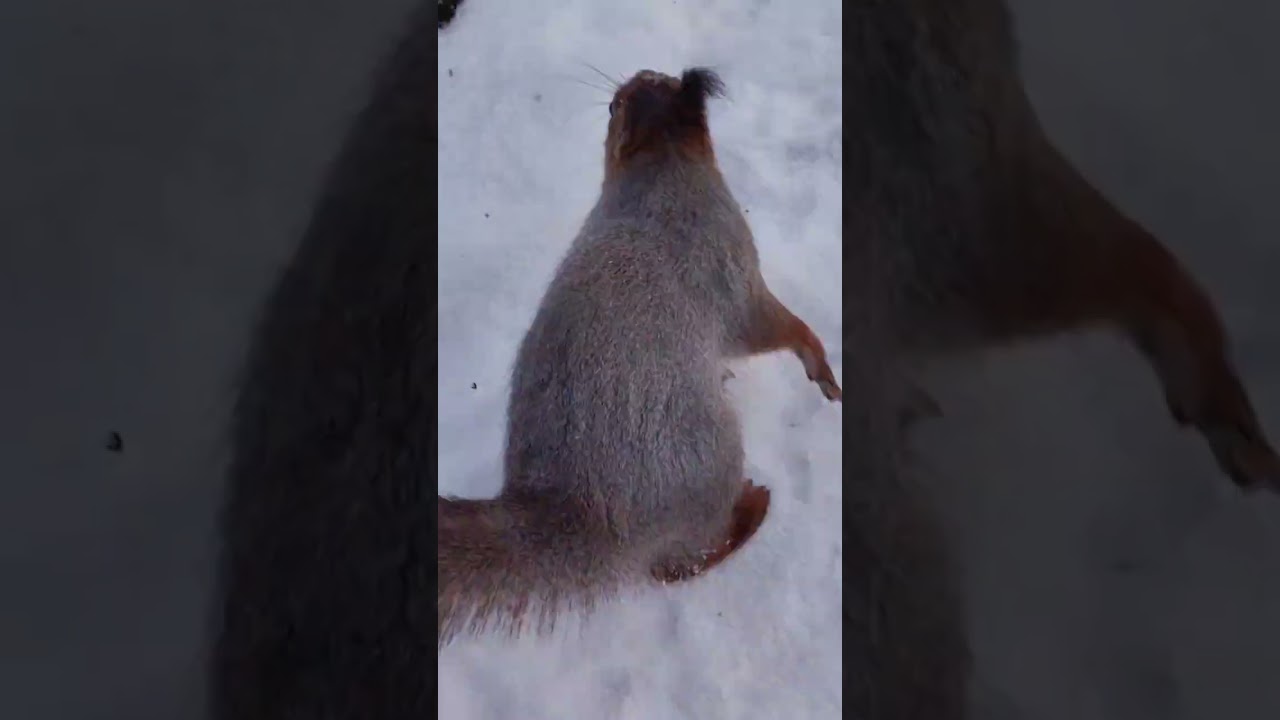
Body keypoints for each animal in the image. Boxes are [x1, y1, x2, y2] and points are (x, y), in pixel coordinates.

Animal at [437, 68, 842, 648]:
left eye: (654, 83)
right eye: (615, 106)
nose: (635, 80)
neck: (663, 168)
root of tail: (582, 512)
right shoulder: (734, 279)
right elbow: (778, 329)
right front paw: (822, 370)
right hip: (708, 458)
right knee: (677, 564)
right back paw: (749, 510)